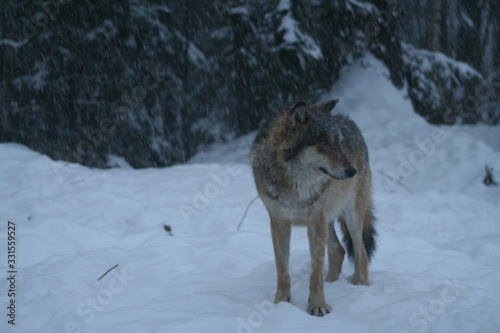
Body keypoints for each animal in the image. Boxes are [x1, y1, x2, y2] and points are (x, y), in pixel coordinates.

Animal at [250, 98, 376, 314]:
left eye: (339, 141)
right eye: (324, 142)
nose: (352, 171)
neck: (295, 185)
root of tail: (348, 119)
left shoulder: (315, 221)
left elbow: (315, 272)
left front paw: (318, 305)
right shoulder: (279, 222)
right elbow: (282, 269)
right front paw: (281, 302)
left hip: (350, 216)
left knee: (360, 250)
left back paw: (359, 284)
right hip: (328, 218)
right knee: (338, 250)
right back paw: (332, 281)